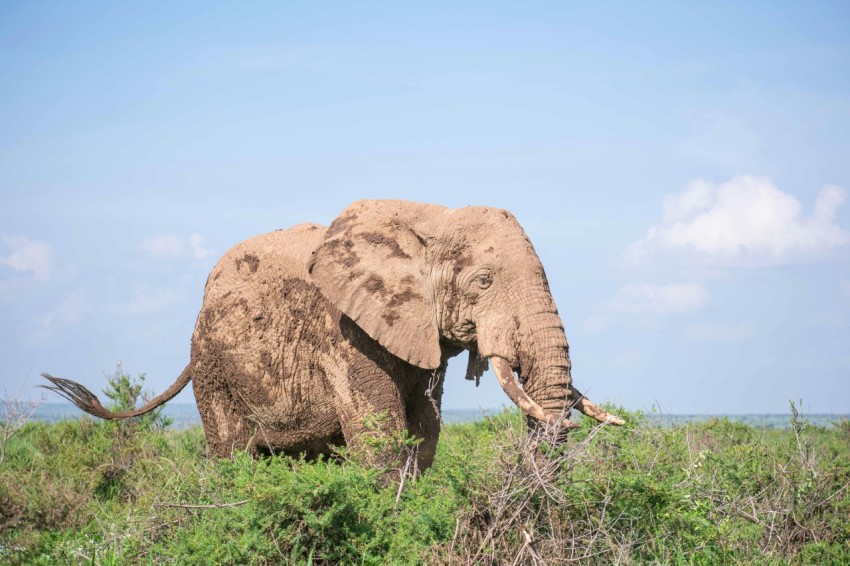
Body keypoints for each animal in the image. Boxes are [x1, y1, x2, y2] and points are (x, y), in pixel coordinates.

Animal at [42, 200, 622, 470]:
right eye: (483, 282)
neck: (428, 217)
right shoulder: (342, 333)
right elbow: (381, 437)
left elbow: (425, 432)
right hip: (212, 363)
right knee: (230, 451)